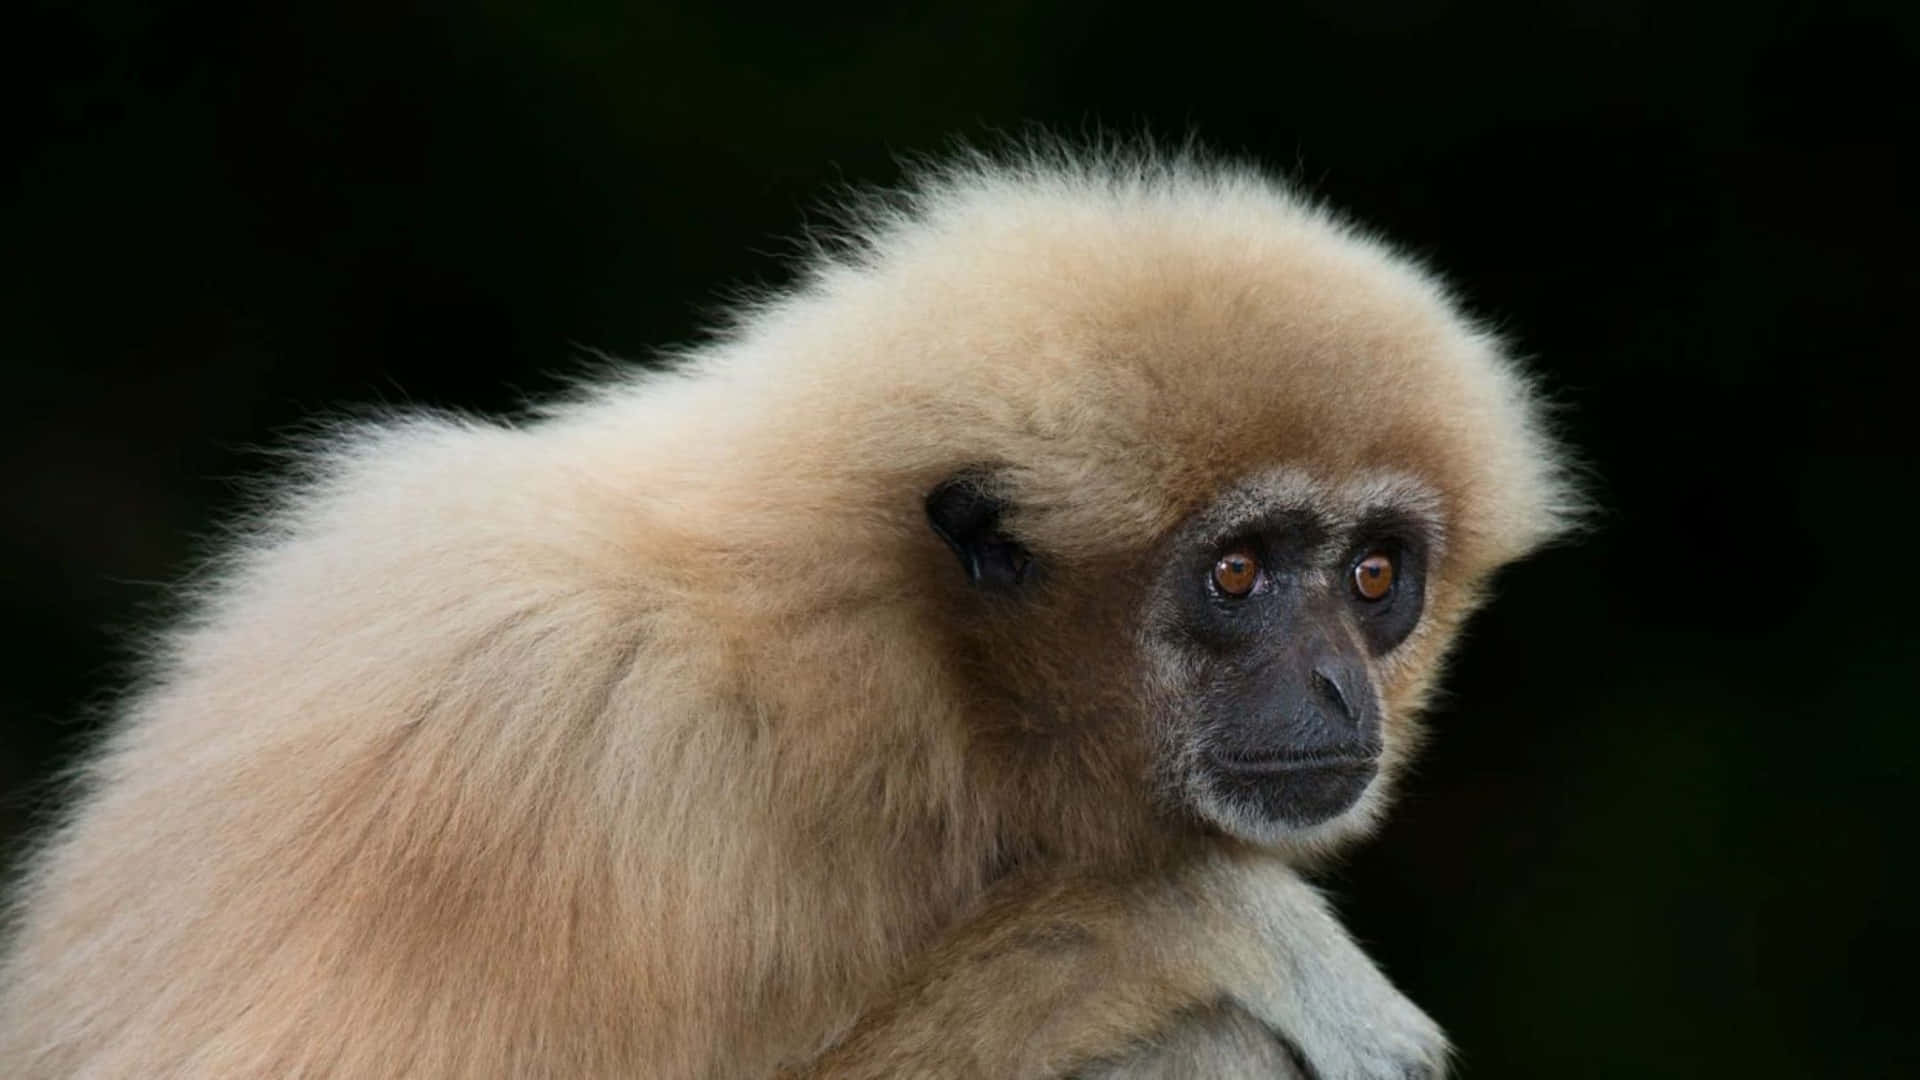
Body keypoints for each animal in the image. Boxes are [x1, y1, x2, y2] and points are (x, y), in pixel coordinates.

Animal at [0, 143, 1576, 1078]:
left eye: (1374, 577)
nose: (1334, 686)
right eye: (1238, 575)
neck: (866, 661)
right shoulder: (548, 742)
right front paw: (1205, 924)